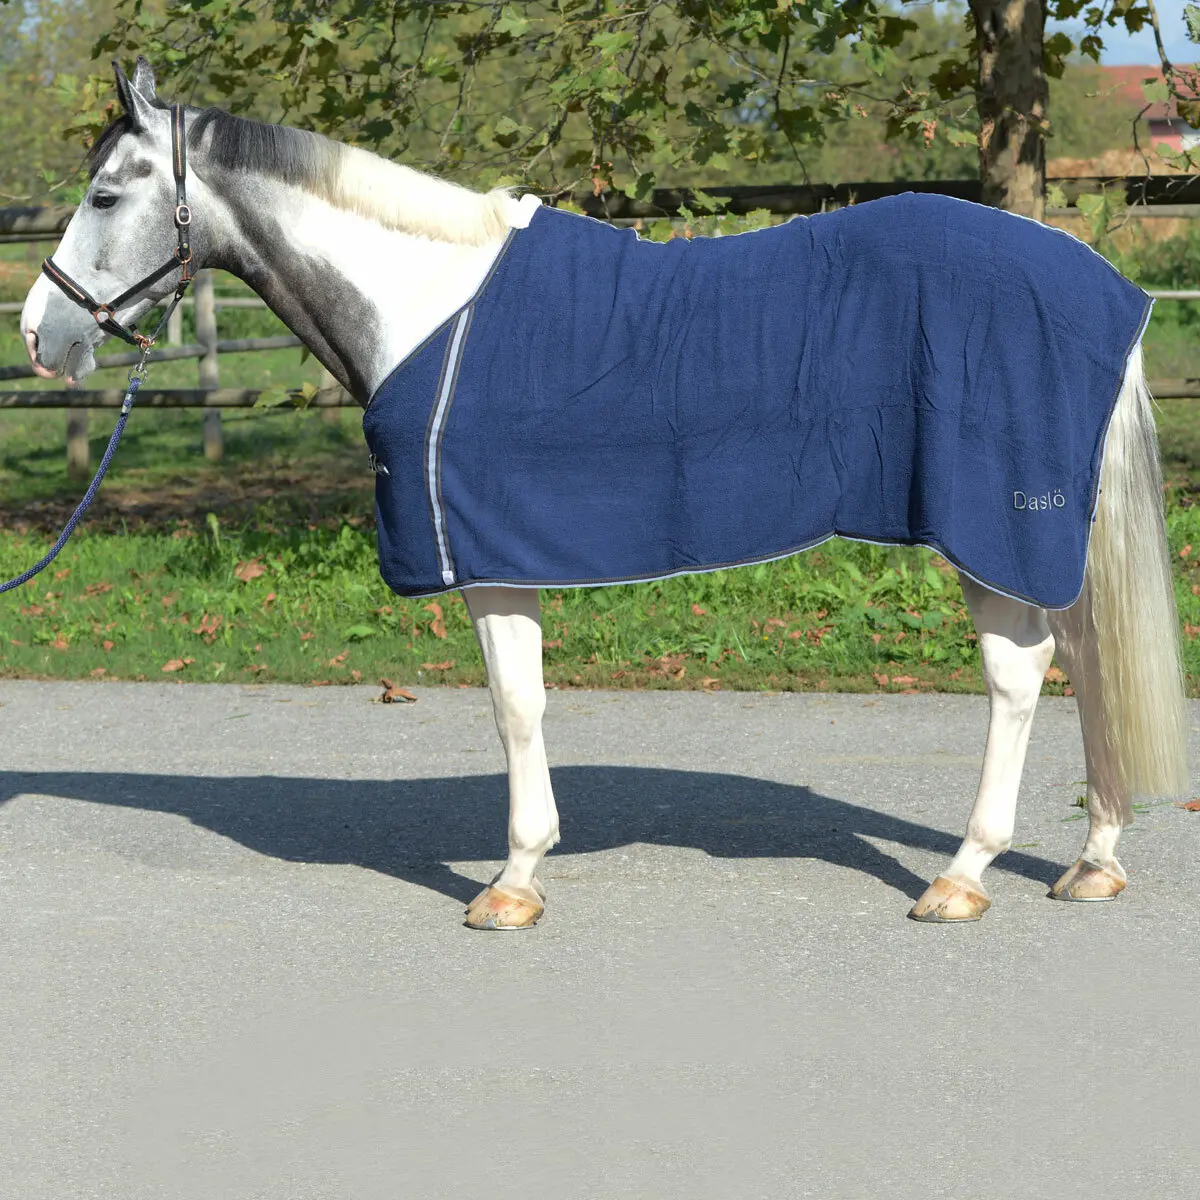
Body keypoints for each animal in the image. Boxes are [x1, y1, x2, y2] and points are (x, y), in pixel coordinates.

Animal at [19, 59, 1189, 930]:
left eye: (105, 195)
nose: (41, 332)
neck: (428, 304)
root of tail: (1096, 282)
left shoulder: (487, 558)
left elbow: (514, 706)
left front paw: (511, 881)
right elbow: (526, 703)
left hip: (988, 529)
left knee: (1020, 673)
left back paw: (962, 875)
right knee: (1086, 661)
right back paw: (1092, 859)